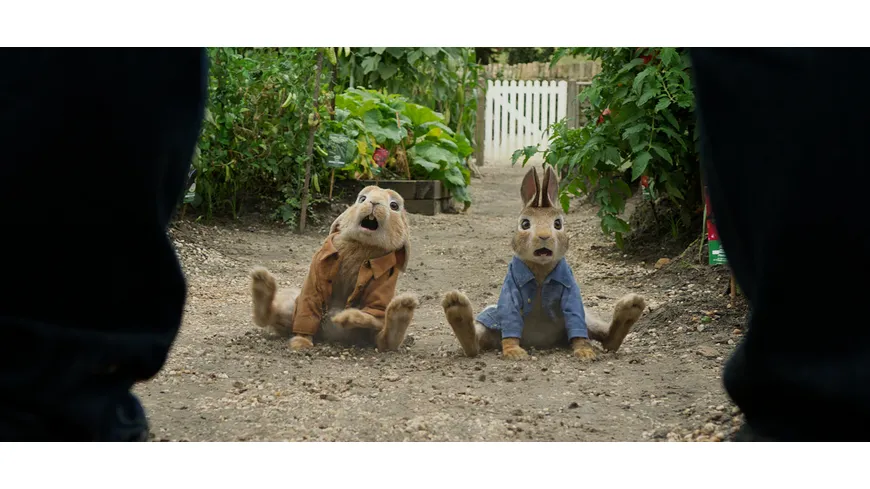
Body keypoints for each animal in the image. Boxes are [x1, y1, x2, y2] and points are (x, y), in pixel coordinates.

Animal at [250, 186, 417, 352]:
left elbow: (374, 306)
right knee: (270, 317)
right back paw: (261, 281)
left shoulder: (385, 279)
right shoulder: (315, 276)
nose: (374, 202)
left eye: (394, 206)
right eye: (362, 199)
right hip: (293, 307)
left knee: (384, 340)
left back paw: (402, 308)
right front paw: (301, 343)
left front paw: (347, 317)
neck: (364, 245)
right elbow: (309, 306)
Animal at [441, 166, 646, 361]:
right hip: (490, 321)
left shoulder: (571, 292)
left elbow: (575, 318)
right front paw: (514, 353)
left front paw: (585, 352)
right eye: (525, 224)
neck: (540, 270)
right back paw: (456, 307)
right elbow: (511, 316)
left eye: (558, 224)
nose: (544, 236)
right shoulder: (511, 289)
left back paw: (631, 308)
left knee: (607, 339)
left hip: (587, 320)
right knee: (476, 344)